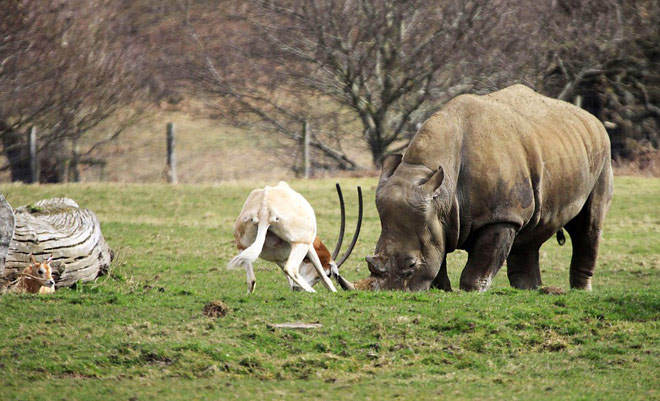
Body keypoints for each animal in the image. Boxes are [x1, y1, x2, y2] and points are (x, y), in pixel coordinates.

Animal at [229, 181, 362, 293]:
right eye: (329, 273)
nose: (297, 288)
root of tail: (264, 210)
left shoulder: (280, 259)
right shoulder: (310, 246)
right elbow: (323, 276)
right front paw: (333, 291)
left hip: (242, 247)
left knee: (251, 280)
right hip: (300, 244)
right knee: (291, 268)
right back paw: (312, 292)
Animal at [353, 85, 613, 292]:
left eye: (410, 265)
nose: (391, 293)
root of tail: (591, 118)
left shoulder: (501, 216)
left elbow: (482, 262)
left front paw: (473, 291)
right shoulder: (435, 215)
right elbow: (437, 254)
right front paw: (442, 290)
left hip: (602, 150)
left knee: (589, 225)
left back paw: (580, 291)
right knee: (532, 231)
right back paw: (529, 290)